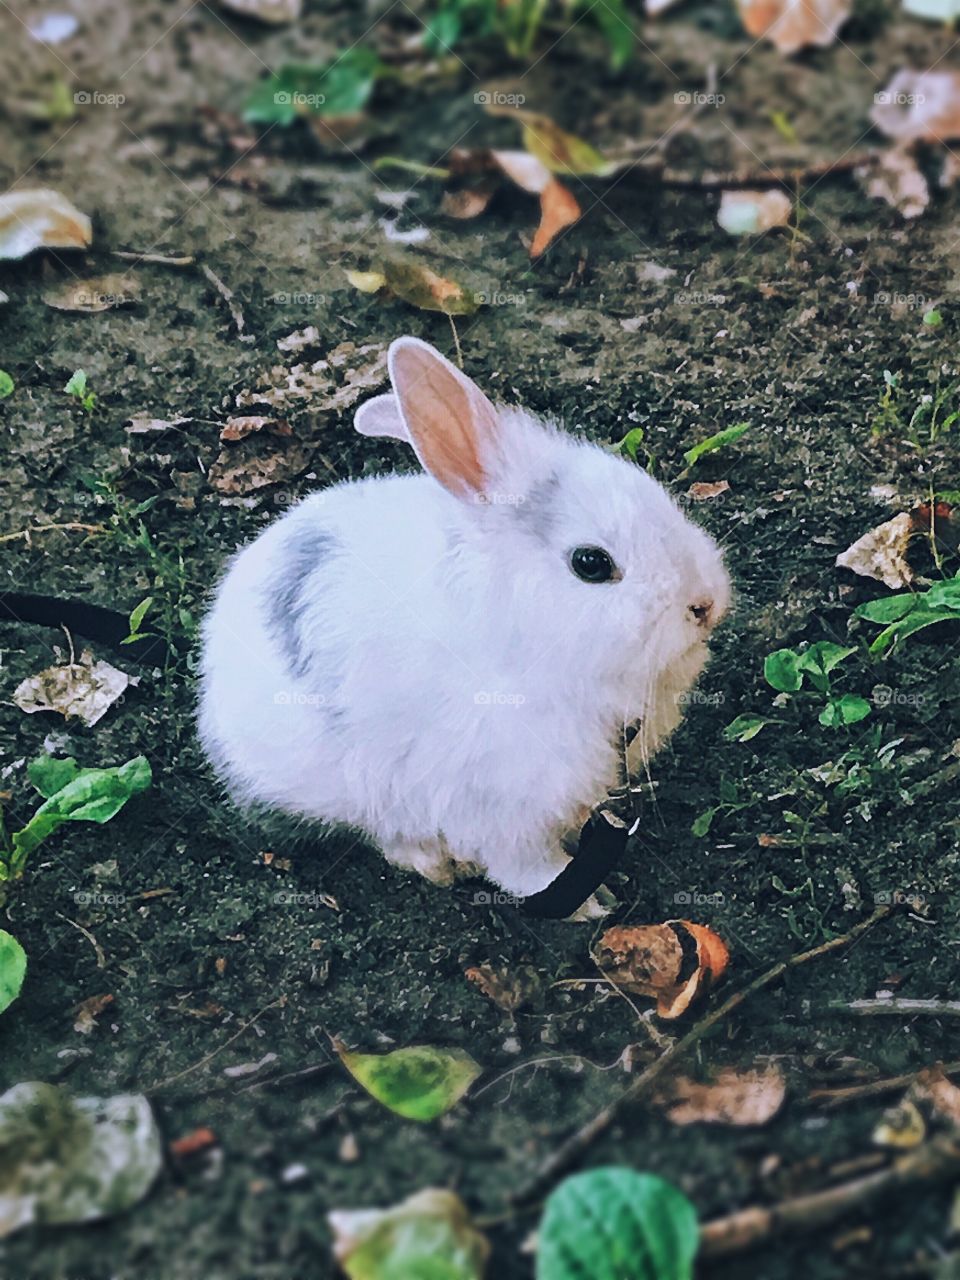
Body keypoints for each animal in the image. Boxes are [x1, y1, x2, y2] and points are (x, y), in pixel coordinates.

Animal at [199, 337, 732, 911]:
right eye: (590, 563)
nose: (706, 604)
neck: (519, 643)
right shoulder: (499, 810)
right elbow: (530, 871)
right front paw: (590, 904)